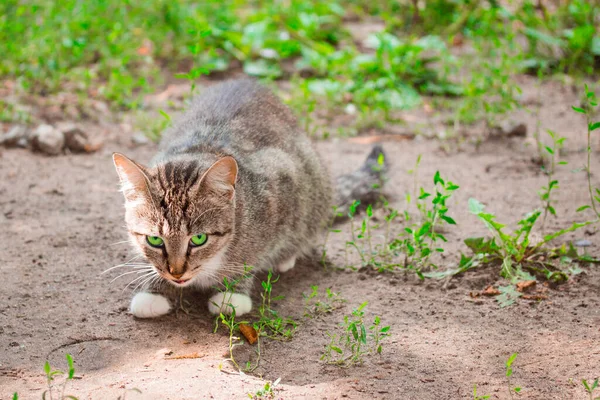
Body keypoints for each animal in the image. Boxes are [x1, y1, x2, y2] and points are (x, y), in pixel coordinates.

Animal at [112, 79, 384, 318]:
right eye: (155, 240)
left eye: (199, 239)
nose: (177, 274)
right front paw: (154, 291)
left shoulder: (279, 187)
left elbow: (253, 253)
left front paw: (232, 293)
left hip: (312, 184)